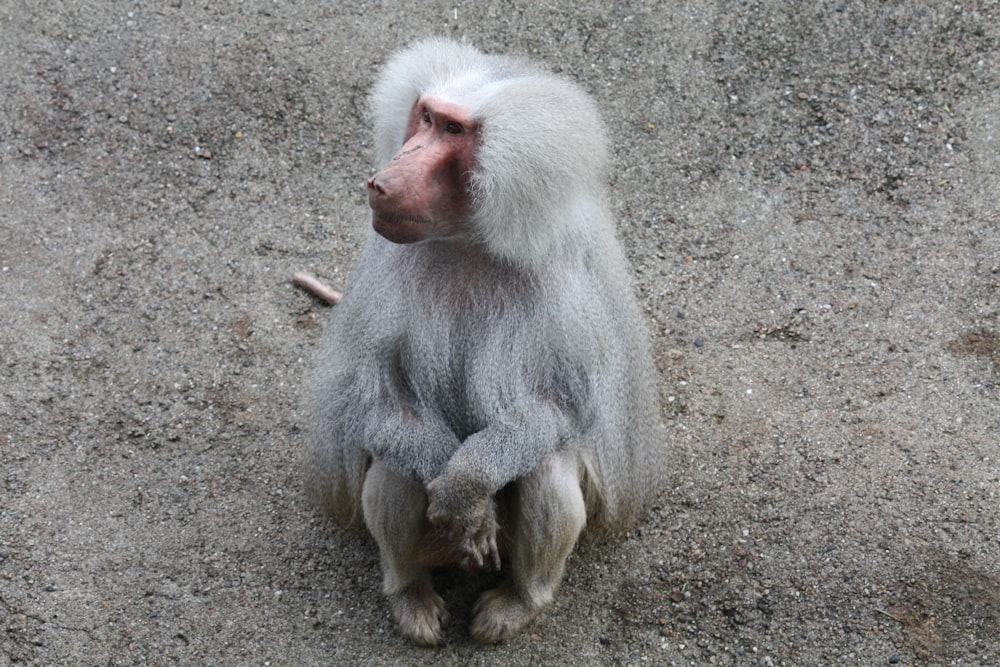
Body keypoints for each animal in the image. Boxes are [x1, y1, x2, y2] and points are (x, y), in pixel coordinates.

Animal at [304, 37, 664, 648]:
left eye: (454, 131)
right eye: (425, 117)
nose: (385, 180)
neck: (470, 240)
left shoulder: (568, 275)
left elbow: (567, 404)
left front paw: (467, 486)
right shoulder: (383, 264)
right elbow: (368, 397)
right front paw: (452, 487)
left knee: (548, 467)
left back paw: (518, 604)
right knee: (395, 459)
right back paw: (410, 598)